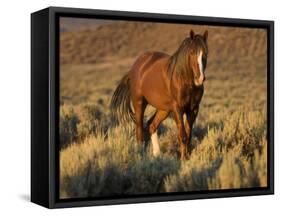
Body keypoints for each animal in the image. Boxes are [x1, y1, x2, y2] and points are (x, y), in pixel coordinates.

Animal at [109, 29, 208, 159]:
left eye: (205, 53)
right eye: (191, 52)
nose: (200, 79)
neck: (183, 79)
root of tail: (135, 66)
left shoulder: (193, 109)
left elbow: (188, 135)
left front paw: (187, 157)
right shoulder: (178, 109)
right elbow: (182, 135)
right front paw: (183, 159)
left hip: (163, 109)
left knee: (151, 126)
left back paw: (157, 154)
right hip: (139, 103)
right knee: (139, 130)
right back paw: (141, 154)